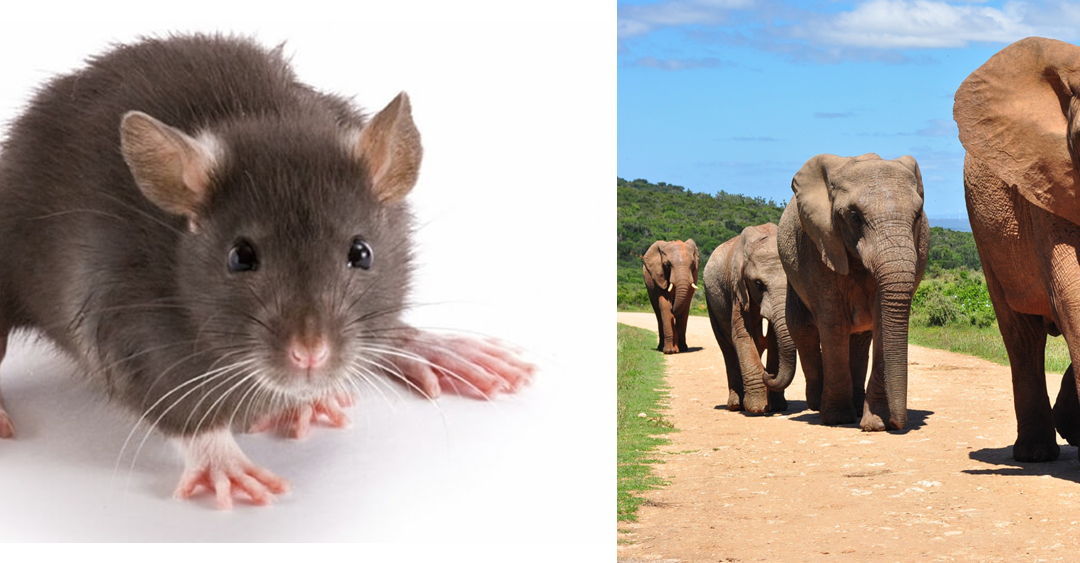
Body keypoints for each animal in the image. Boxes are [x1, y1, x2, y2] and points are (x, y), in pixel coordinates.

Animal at [703, 224, 796, 413]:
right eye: (758, 284)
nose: (768, 374)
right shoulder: (737, 287)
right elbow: (742, 335)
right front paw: (757, 408)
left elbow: (775, 339)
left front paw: (777, 407)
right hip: (711, 301)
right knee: (727, 348)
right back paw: (735, 405)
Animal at [776, 153, 929, 431]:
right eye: (855, 217)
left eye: (917, 216)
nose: (898, 423)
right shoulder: (818, 243)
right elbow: (833, 322)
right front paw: (837, 418)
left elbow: (881, 320)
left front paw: (876, 423)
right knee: (802, 329)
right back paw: (817, 404)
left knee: (859, 339)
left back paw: (856, 407)